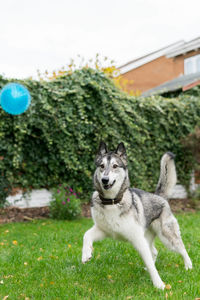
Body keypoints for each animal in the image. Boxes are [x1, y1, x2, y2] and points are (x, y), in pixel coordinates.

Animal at [81, 142, 192, 290]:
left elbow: (150, 264)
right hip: (148, 237)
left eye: (115, 166)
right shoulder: (104, 230)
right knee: (154, 252)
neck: (112, 202)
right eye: (102, 166)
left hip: (167, 237)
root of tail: (159, 196)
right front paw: (86, 254)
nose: (105, 180)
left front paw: (159, 284)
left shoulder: (137, 239)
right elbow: (86, 235)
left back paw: (188, 266)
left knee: (182, 248)